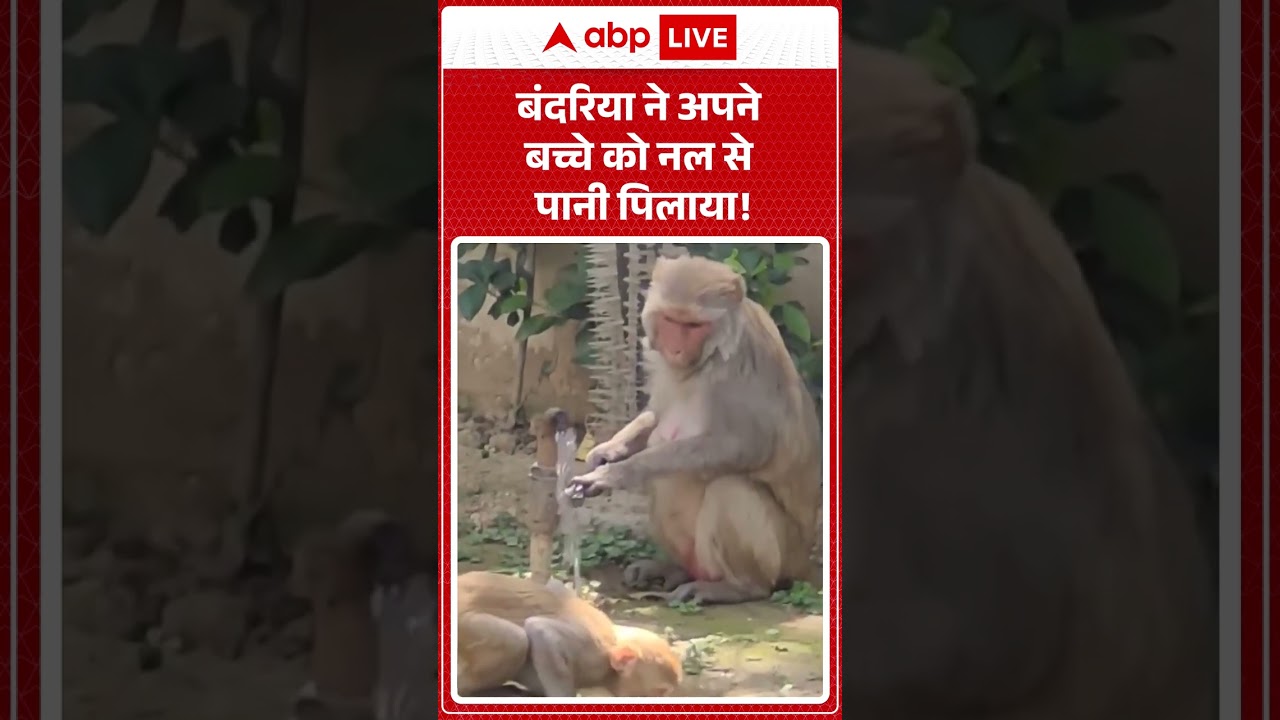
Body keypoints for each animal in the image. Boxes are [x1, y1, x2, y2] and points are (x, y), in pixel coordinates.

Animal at [566, 253, 823, 606]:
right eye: (671, 321)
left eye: (693, 327)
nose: (675, 350)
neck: (707, 358)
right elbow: (656, 414)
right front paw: (607, 452)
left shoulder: (742, 364)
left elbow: (746, 446)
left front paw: (619, 473)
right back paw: (672, 569)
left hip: (785, 556)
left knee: (729, 489)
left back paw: (739, 587)